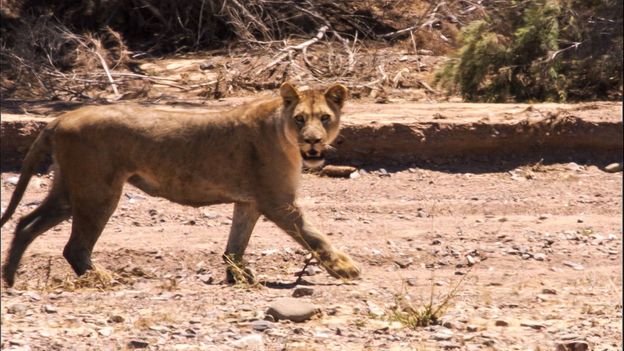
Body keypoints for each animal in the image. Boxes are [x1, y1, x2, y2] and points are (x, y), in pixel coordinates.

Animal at [1, 84, 360, 288]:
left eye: (324, 118)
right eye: (300, 119)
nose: (313, 141)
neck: (281, 131)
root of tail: (59, 119)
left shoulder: (249, 201)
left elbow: (235, 244)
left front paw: (238, 277)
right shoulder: (277, 200)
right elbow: (313, 235)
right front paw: (346, 269)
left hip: (69, 190)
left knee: (25, 224)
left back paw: (9, 279)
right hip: (98, 191)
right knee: (73, 245)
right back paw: (101, 278)